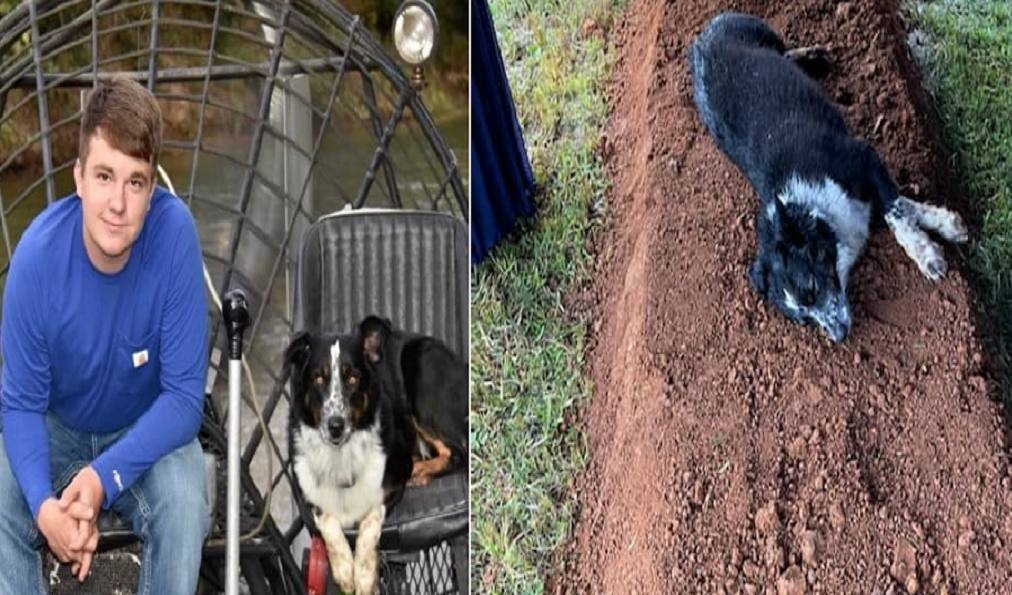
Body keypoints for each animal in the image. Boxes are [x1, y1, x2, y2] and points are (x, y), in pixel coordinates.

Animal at [285, 315, 465, 595]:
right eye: (318, 379)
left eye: (352, 378)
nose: (335, 426)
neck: (341, 453)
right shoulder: (305, 489)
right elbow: (326, 519)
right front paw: (344, 569)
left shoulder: (391, 479)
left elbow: (370, 519)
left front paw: (363, 573)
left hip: (421, 378)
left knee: (458, 451)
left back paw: (421, 471)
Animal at [688, 11, 963, 342]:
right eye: (803, 320)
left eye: (811, 288)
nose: (838, 336)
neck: (811, 210)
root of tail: (702, 35)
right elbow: (901, 205)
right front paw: (948, 225)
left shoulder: (863, 157)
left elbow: (897, 212)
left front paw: (929, 255)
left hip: (762, 31)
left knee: (784, 49)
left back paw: (815, 56)